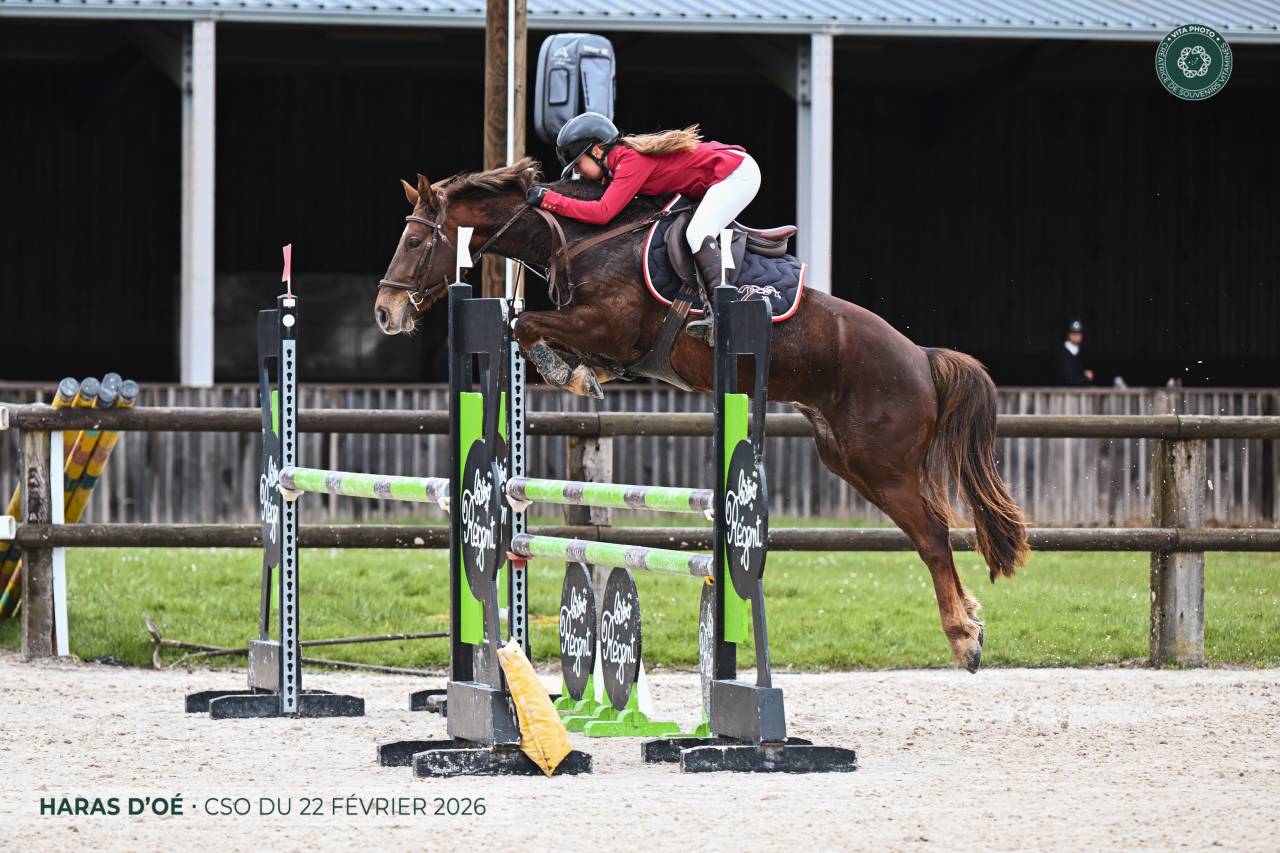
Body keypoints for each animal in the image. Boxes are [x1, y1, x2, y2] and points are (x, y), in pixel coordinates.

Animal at [374, 159, 1028, 672]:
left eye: (415, 242)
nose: (385, 311)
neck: (580, 238)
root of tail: (920, 356)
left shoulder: (608, 325)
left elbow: (524, 324)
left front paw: (566, 372)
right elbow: (534, 331)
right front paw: (576, 373)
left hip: (882, 464)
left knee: (934, 536)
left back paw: (964, 639)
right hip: (849, 460)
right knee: (928, 530)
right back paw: (970, 622)